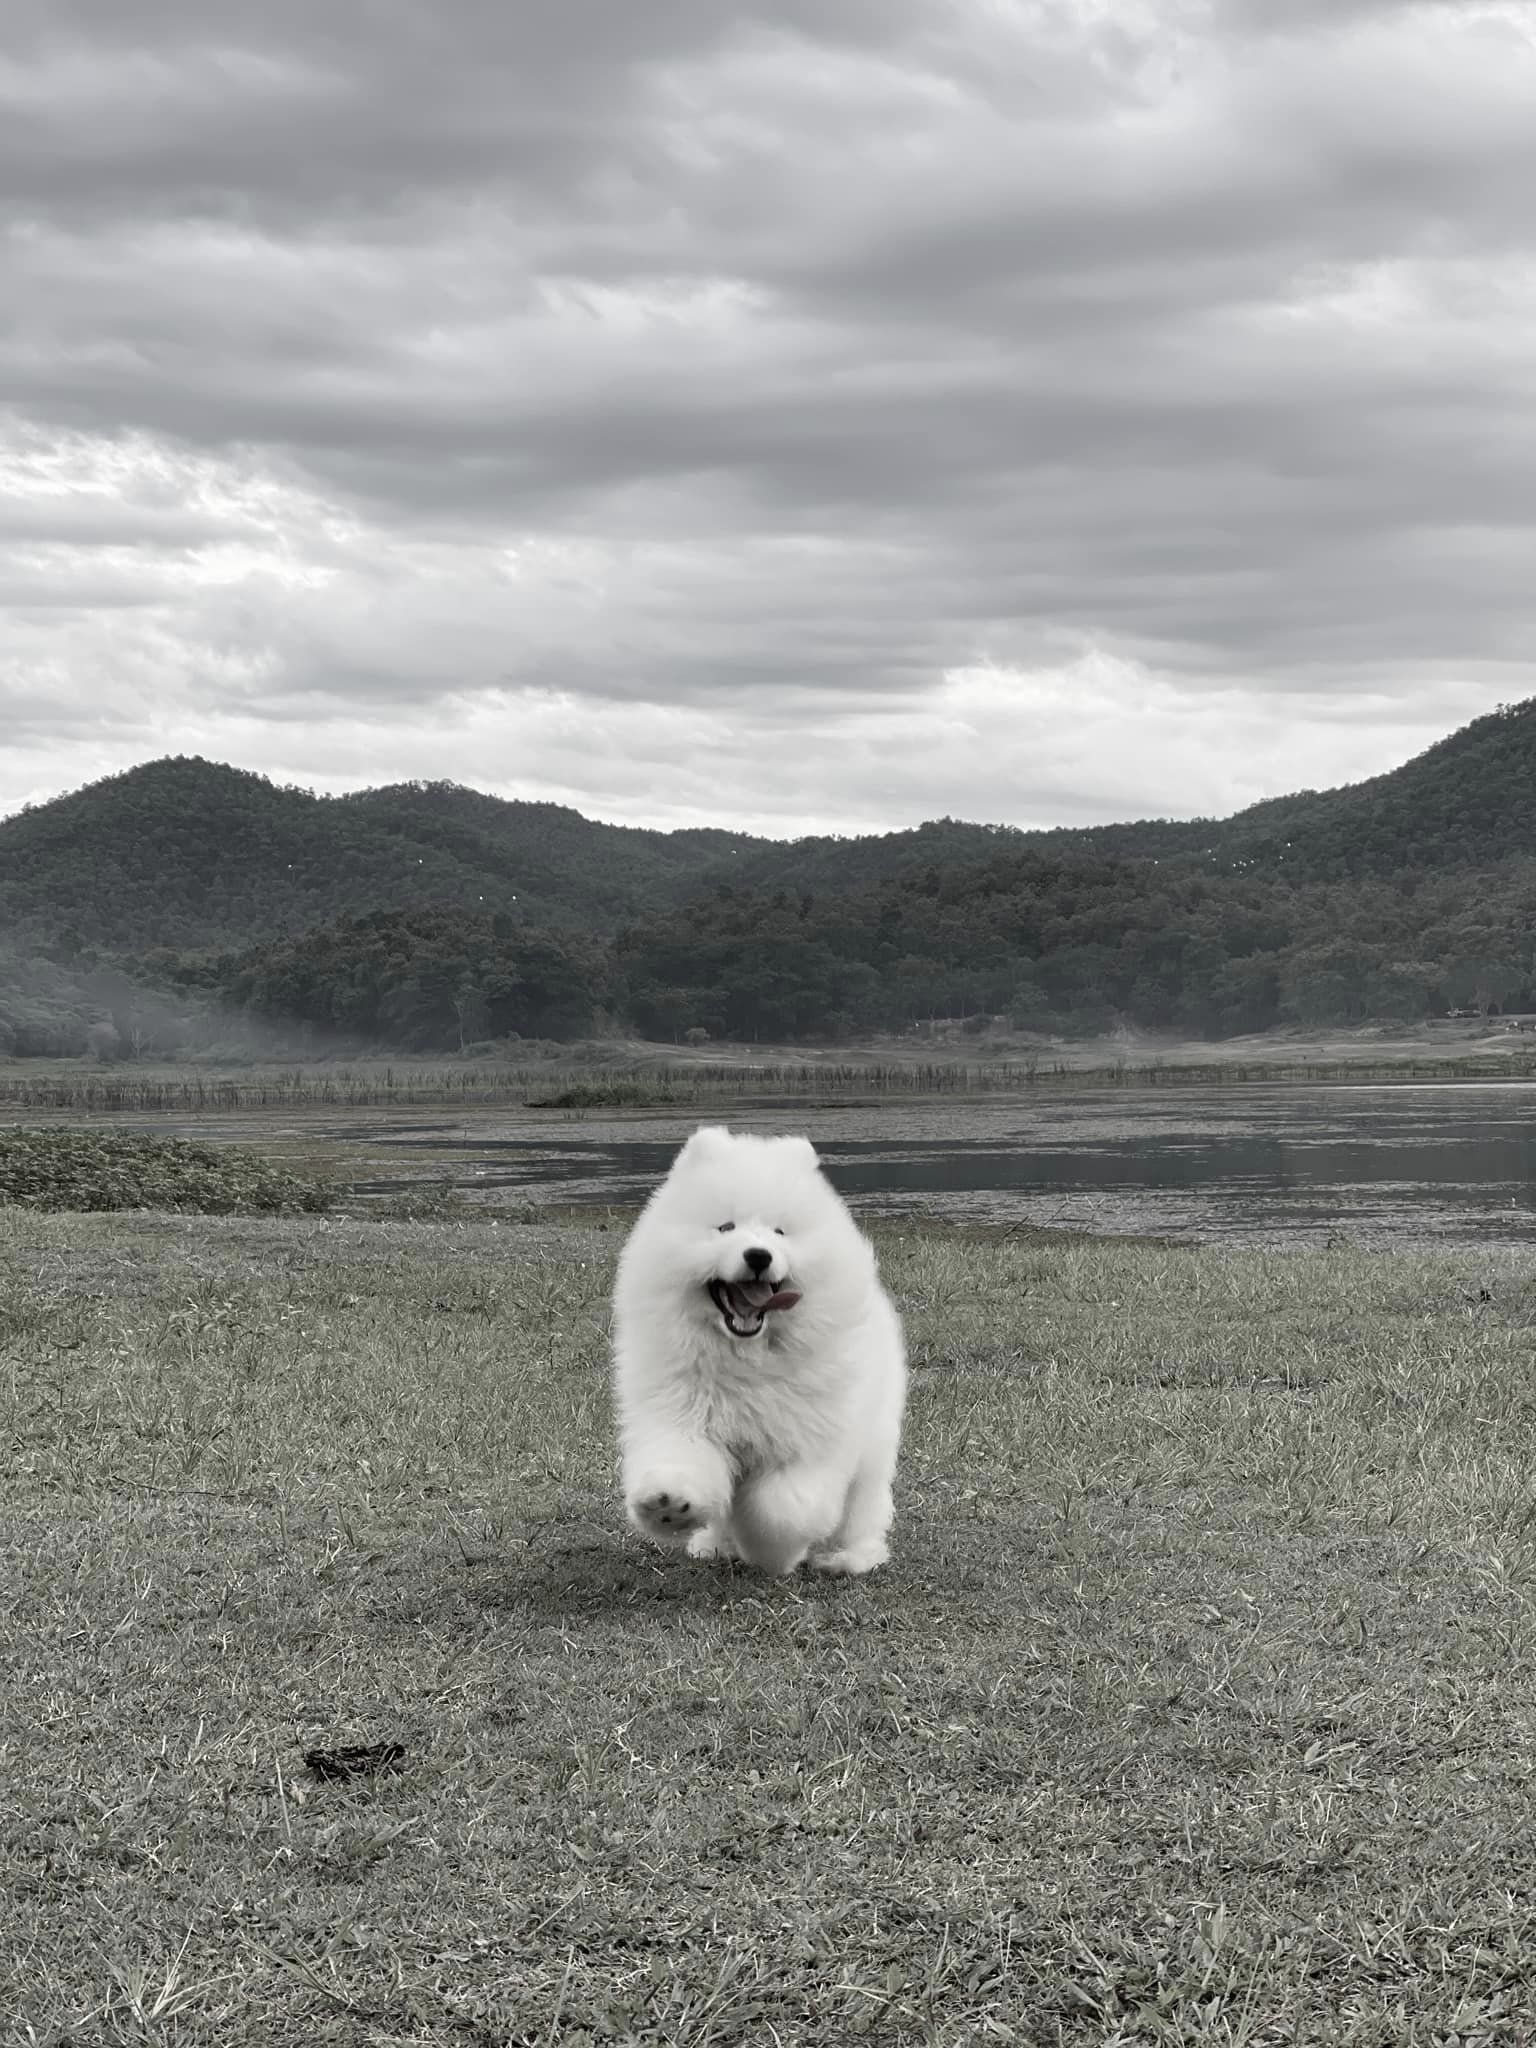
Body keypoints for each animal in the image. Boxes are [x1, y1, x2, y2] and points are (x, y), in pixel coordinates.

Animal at [610, 1130, 909, 1572]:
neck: (746, 1357)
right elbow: (680, 1460)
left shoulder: (807, 1442)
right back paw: (714, 1543)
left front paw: (773, 1554)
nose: (758, 1255)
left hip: (873, 1449)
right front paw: (667, 1504)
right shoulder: (684, 1413)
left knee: (863, 1511)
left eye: (780, 1232)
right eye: (725, 1227)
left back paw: (848, 1558)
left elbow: (782, 1510)